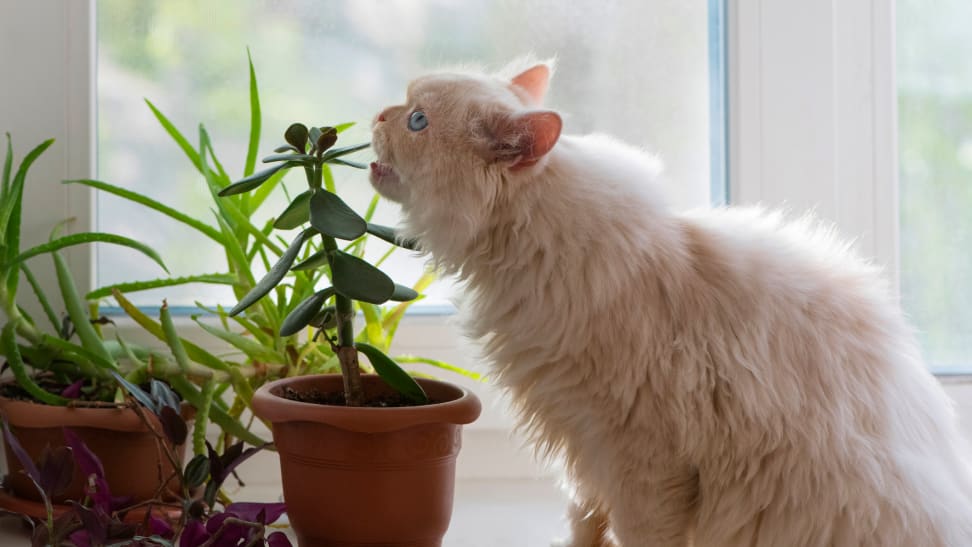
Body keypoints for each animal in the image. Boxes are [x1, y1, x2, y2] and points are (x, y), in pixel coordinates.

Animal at [366, 61, 972, 547]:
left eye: (416, 120)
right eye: (403, 109)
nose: (377, 114)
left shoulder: (642, 463)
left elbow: (638, 536)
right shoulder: (585, 453)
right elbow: (582, 527)